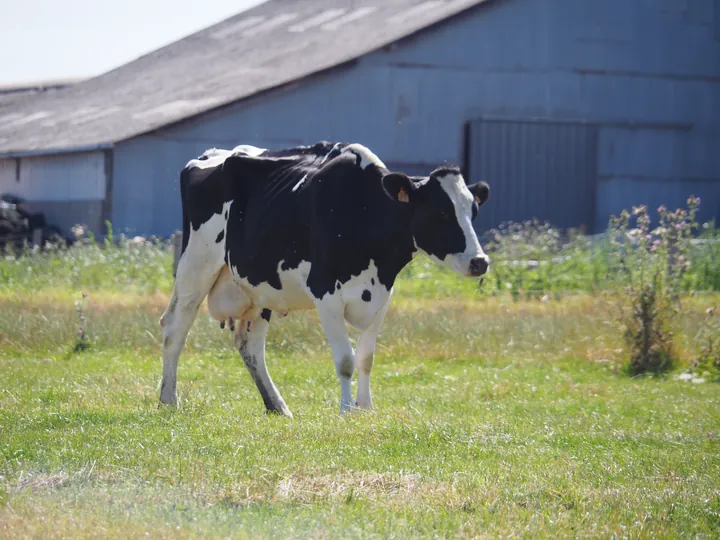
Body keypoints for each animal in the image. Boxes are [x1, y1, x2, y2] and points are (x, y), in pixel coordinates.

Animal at [159, 141, 490, 416]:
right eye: (441, 212)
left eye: (473, 210)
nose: (480, 261)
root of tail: (211, 154)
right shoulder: (325, 293)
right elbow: (345, 361)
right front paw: (345, 410)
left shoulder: (383, 297)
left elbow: (366, 357)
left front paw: (366, 407)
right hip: (195, 266)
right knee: (174, 328)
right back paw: (168, 399)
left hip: (258, 288)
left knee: (250, 345)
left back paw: (278, 406)